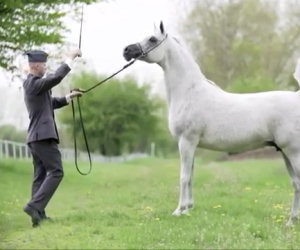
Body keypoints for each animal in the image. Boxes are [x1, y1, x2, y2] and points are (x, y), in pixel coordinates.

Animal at [123, 21, 300, 225]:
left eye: (152, 39)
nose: (126, 50)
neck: (189, 91)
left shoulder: (186, 141)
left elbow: (183, 176)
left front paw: (178, 210)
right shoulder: (190, 144)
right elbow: (191, 176)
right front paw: (188, 208)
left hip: (293, 151)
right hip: (284, 152)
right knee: (296, 184)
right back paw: (291, 221)